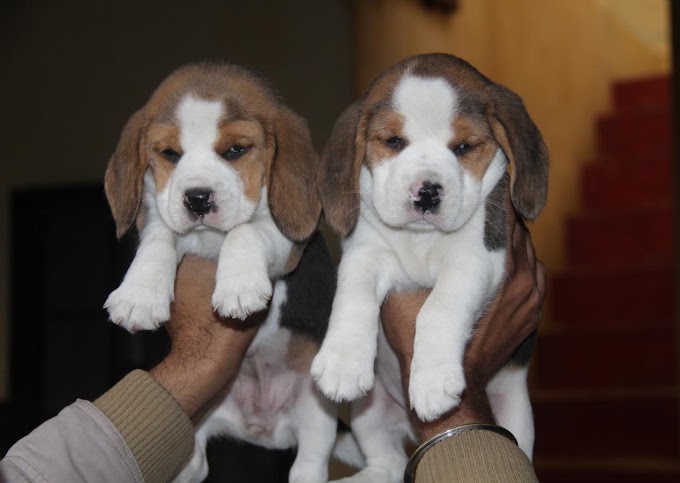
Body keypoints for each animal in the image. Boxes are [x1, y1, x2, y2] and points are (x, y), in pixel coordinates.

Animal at [105, 64, 350, 483]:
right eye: (170, 154)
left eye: (236, 150)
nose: (197, 198)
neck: (208, 240)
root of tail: (263, 429)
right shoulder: (160, 216)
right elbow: (159, 236)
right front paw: (139, 296)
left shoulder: (287, 243)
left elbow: (245, 229)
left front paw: (238, 289)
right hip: (194, 428)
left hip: (316, 414)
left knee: (309, 464)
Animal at [310, 54, 548, 482]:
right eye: (393, 142)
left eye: (465, 147)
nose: (427, 193)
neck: (418, 239)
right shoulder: (365, 253)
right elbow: (354, 297)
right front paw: (342, 362)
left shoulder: (476, 261)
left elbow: (438, 309)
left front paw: (433, 381)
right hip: (369, 411)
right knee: (388, 464)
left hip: (517, 416)